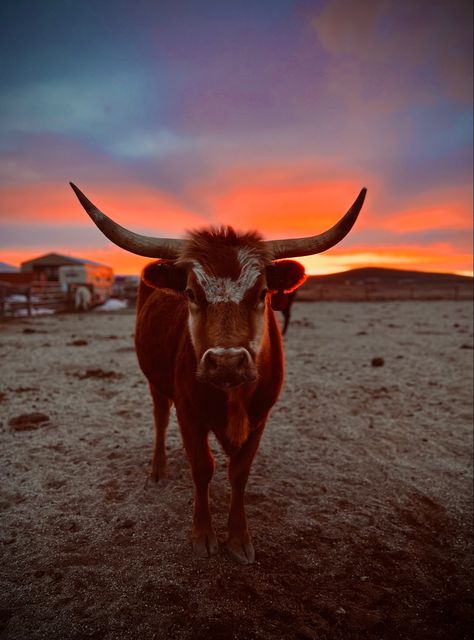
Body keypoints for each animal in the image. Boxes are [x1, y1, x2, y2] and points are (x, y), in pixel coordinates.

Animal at [69, 181, 366, 564]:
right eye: (191, 293)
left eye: (262, 292)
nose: (226, 361)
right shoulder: (189, 413)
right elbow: (202, 468)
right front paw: (203, 535)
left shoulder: (260, 417)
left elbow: (238, 473)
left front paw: (238, 538)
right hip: (156, 383)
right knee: (160, 419)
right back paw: (158, 471)